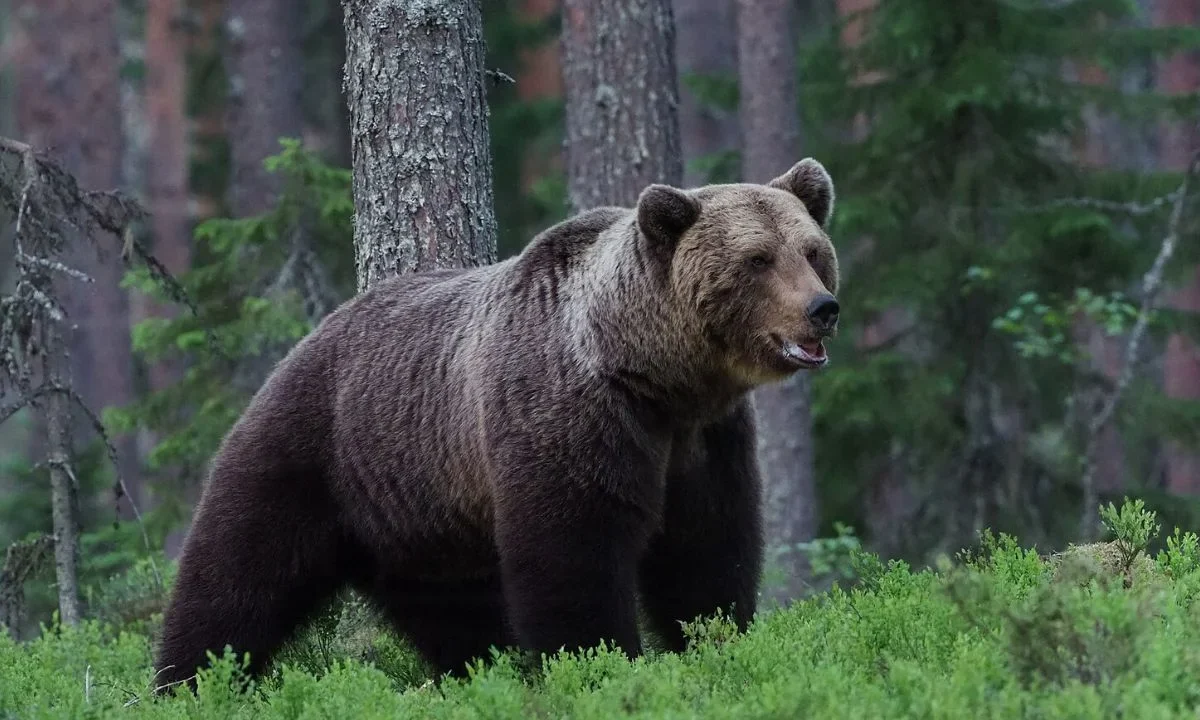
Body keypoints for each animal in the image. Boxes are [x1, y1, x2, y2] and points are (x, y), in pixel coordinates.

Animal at [152, 157, 841, 691]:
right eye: (757, 259)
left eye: (812, 252)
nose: (823, 308)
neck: (654, 375)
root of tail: (306, 340)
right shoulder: (572, 416)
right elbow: (574, 555)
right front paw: (598, 663)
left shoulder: (704, 440)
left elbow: (706, 549)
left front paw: (715, 640)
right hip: (314, 450)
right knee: (237, 574)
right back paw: (188, 681)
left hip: (418, 515)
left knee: (453, 610)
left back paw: (479, 671)